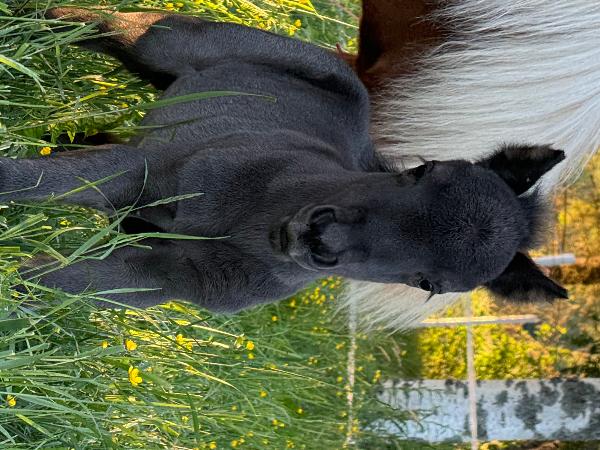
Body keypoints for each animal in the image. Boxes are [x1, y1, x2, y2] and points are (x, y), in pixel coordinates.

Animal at [3, 7, 567, 326]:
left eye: (429, 284)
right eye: (420, 172)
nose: (321, 238)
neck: (248, 222)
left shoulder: (159, 277)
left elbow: (58, 282)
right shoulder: (140, 169)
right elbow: (31, 181)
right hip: (159, 42)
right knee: (78, 19)